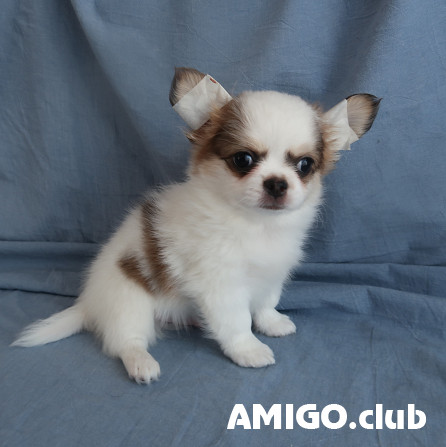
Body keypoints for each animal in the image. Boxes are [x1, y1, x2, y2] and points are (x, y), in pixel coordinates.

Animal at [12, 68, 378, 384]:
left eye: (304, 165)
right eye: (243, 160)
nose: (277, 183)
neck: (254, 224)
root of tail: (89, 303)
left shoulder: (272, 272)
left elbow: (265, 303)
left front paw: (271, 323)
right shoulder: (221, 285)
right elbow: (237, 322)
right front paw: (248, 350)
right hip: (128, 301)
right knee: (126, 340)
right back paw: (141, 363)